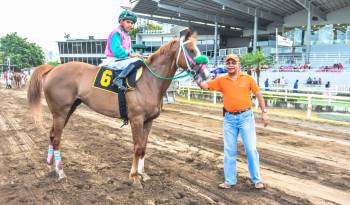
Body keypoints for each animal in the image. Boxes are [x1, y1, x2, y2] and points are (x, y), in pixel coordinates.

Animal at [27, 30, 205, 187]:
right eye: (190, 50)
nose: (204, 74)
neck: (149, 81)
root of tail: (52, 69)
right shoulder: (136, 119)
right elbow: (137, 147)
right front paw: (134, 177)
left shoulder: (148, 121)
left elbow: (144, 147)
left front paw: (143, 174)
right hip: (60, 111)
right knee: (56, 138)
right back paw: (61, 172)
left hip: (68, 110)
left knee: (52, 136)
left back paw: (51, 167)